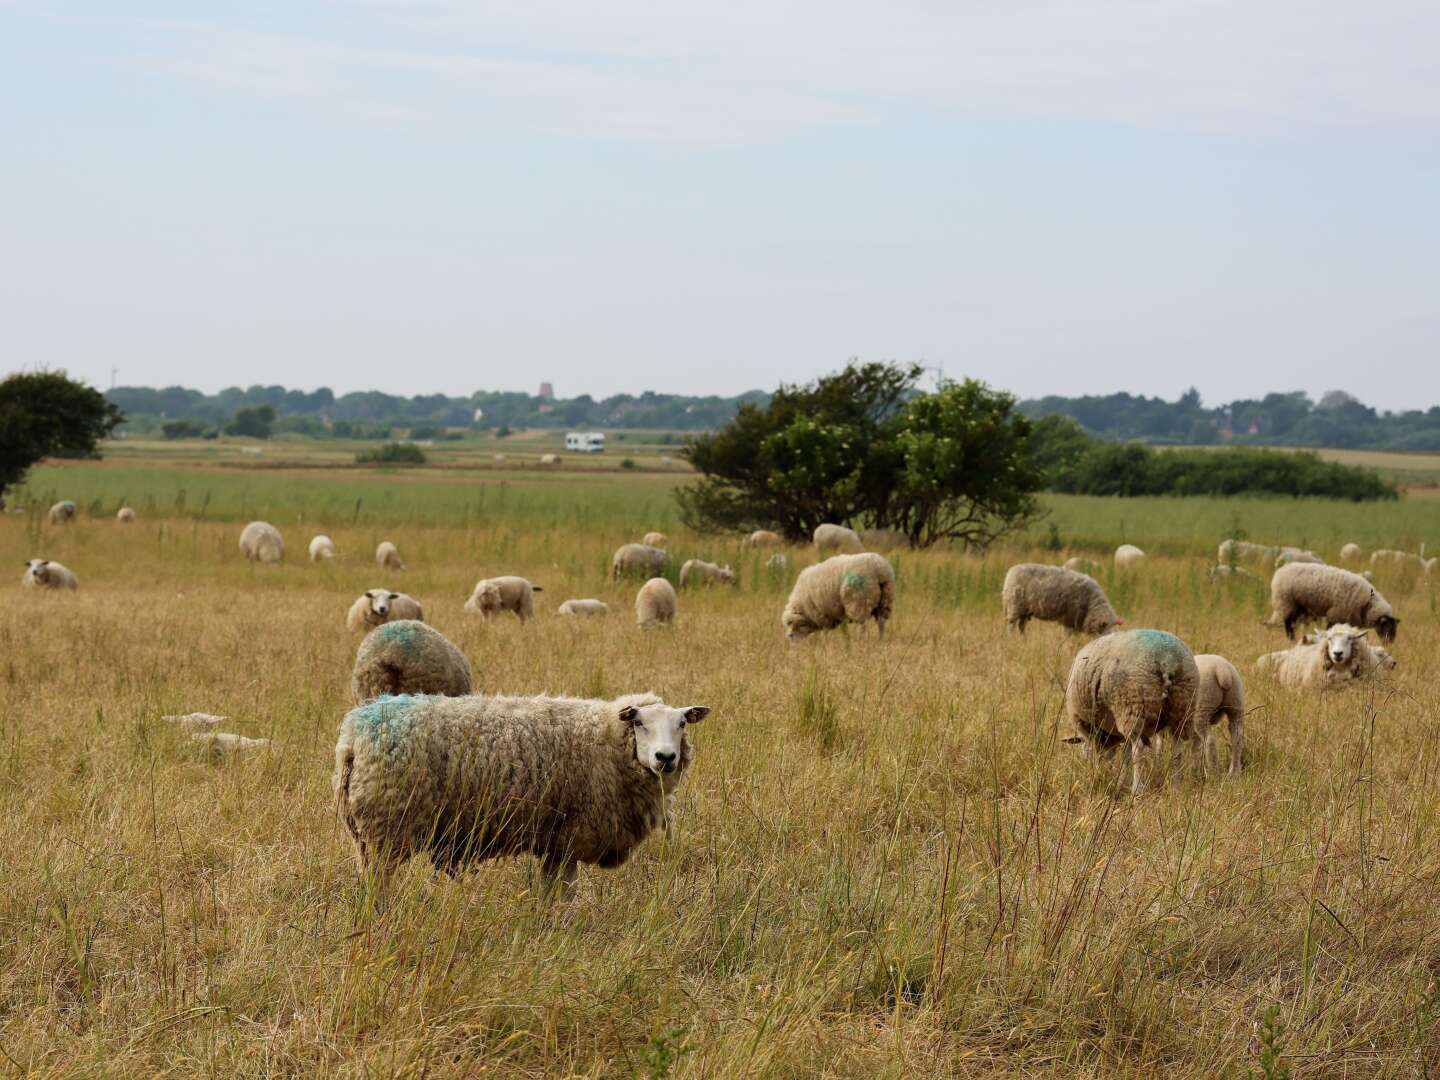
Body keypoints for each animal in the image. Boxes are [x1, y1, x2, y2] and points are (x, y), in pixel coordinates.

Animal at [329, 694, 708, 898]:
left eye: (681, 724)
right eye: (640, 723)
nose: (665, 757)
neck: (606, 737)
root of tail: (353, 736)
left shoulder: (556, 841)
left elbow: (552, 892)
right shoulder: (572, 835)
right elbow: (564, 896)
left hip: (366, 833)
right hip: (387, 827)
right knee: (378, 887)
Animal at [1065, 630, 1198, 800]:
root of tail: (1167, 660)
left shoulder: (1089, 727)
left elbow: (1120, 755)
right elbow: (1124, 758)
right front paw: (1117, 784)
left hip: (1133, 705)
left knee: (1138, 751)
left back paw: (1137, 790)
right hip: (1182, 708)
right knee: (1177, 751)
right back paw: (1176, 789)